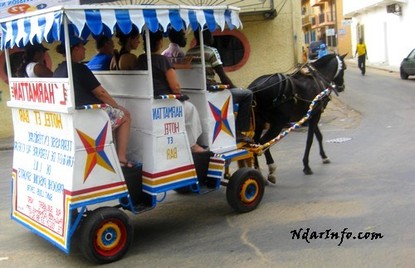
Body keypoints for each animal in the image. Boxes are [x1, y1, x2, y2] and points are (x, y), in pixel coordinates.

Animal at [249, 54, 350, 184]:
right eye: (344, 68)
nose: (342, 87)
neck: (320, 79)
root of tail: (255, 87)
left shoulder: (311, 115)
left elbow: (319, 136)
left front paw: (324, 156)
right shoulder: (315, 116)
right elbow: (310, 140)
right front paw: (306, 166)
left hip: (259, 122)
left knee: (254, 143)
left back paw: (258, 172)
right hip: (277, 123)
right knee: (263, 142)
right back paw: (271, 171)